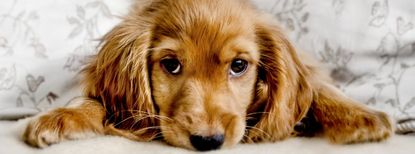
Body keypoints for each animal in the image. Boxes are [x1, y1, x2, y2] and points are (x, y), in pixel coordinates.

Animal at [22, 0, 394, 151]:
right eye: (171, 65)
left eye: (239, 66)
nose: (207, 141)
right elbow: (93, 102)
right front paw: (61, 117)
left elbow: (319, 87)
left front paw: (360, 116)